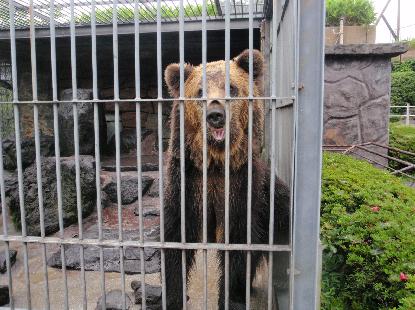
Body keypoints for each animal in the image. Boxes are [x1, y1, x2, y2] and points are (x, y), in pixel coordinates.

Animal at [162, 49, 290, 308]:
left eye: (232, 87)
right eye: (199, 91)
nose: (215, 115)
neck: (215, 163)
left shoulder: (241, 185)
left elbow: (239, 241)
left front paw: (230, 298)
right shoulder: (187, 181)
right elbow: (176, 237)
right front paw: (174, 297)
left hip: (275, 202)